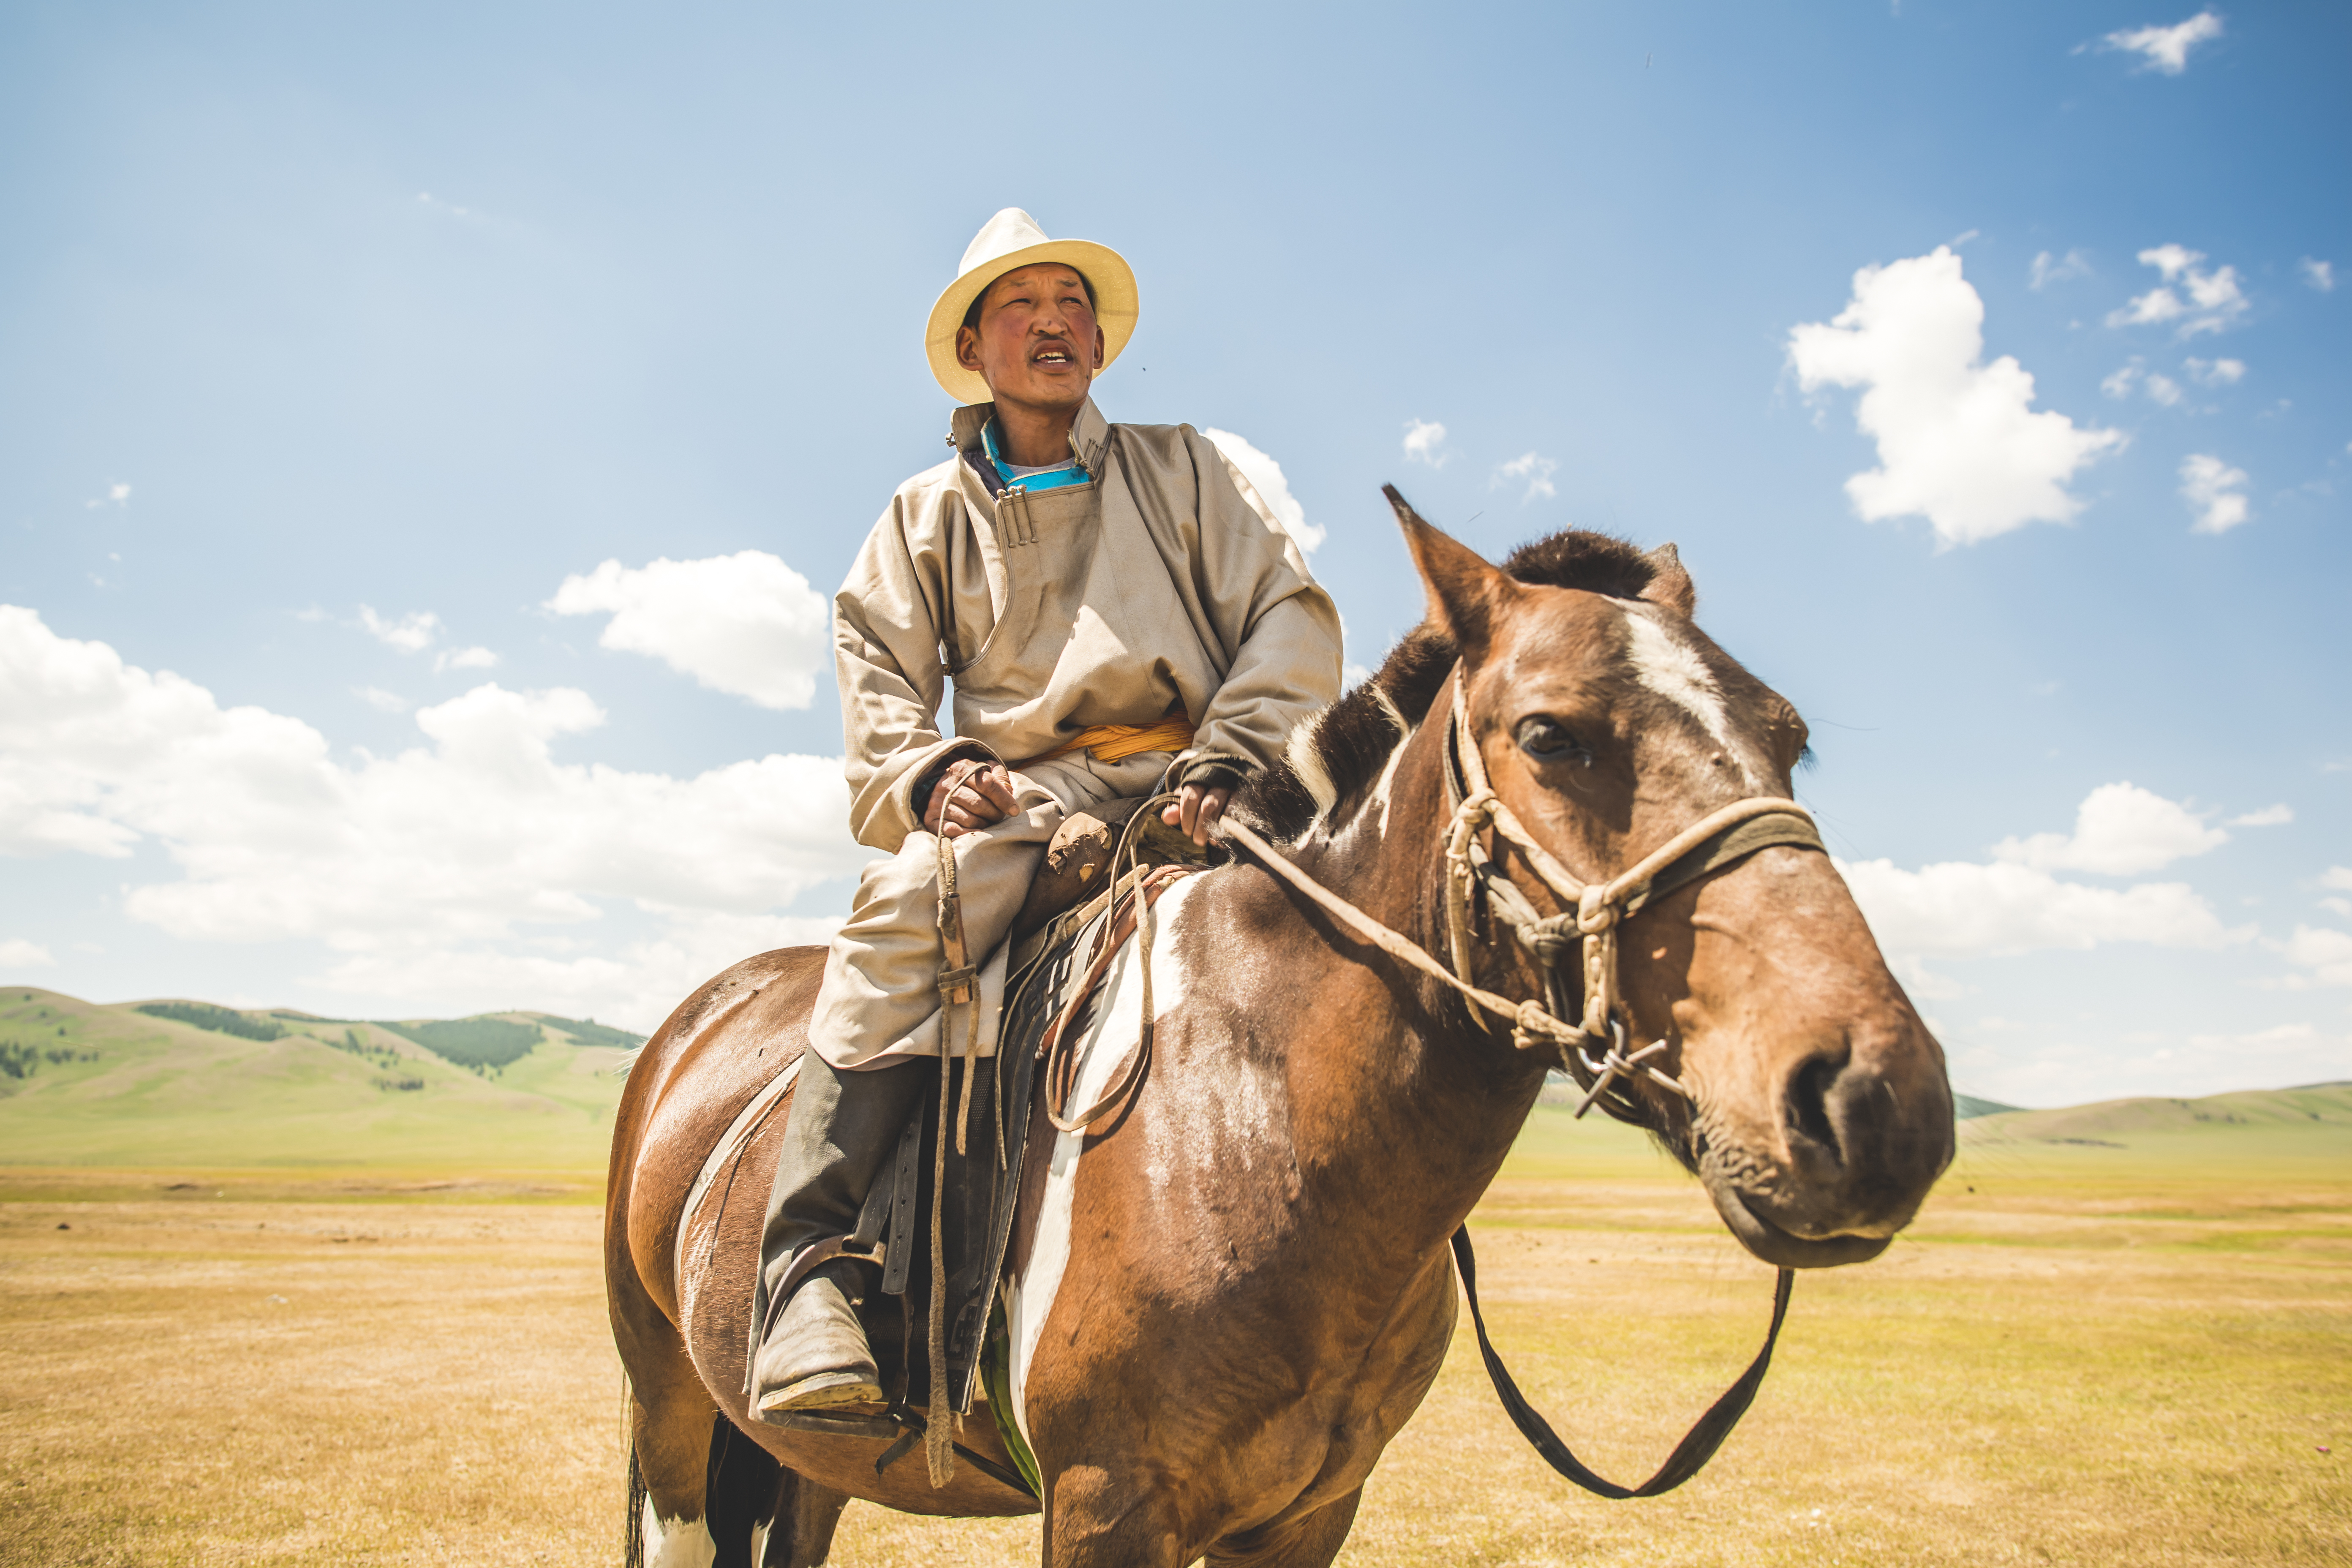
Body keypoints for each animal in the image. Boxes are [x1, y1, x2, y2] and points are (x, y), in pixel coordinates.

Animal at [602, 496, 1947, 1561]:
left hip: (806, 1467)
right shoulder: (1103, 1505)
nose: (1876, 1101)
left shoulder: (1309, 1514)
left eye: (1787, 737)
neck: (1265, 1121)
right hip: (673, 1421)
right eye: (1550, 734)